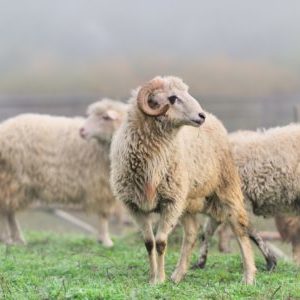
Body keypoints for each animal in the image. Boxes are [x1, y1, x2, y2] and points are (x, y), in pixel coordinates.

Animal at [0, 98, 127, 246]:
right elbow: (103, 215)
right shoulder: (101, 187)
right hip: (11, 178)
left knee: (9, 211)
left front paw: (103, 239)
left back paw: (18, 239)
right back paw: (7, 238)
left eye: (105, 117)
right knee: (5, 210)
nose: (82, 131)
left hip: (15, 183)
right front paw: (106, 241)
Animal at [109, 76, 256, 284]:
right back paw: (178, 275)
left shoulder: (170, 202)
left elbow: (161, 243)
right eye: (172, 98)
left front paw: (159, 279)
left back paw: (249, 276)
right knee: (192, 233)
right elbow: (149, 243)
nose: (201, 116)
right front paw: (153, 278)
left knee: (239, 227)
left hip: (227, 187)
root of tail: (215, 119)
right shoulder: (135, 206)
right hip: (186, 200)